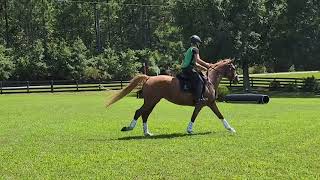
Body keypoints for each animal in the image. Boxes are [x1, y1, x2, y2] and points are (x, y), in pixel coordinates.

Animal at [106, 59, 239, 136]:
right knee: (139, 112)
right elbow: (196, 116)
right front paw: (189, 130)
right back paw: (129, 128)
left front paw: (230, 128)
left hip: (152, 101)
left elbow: (219, 115)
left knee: (145, 114)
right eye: (233, 68)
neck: (209, 81)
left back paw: (147, 132)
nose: (237, 79)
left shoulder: (210, 103)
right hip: (151, 101)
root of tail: (149, 77)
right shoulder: (202, 104)